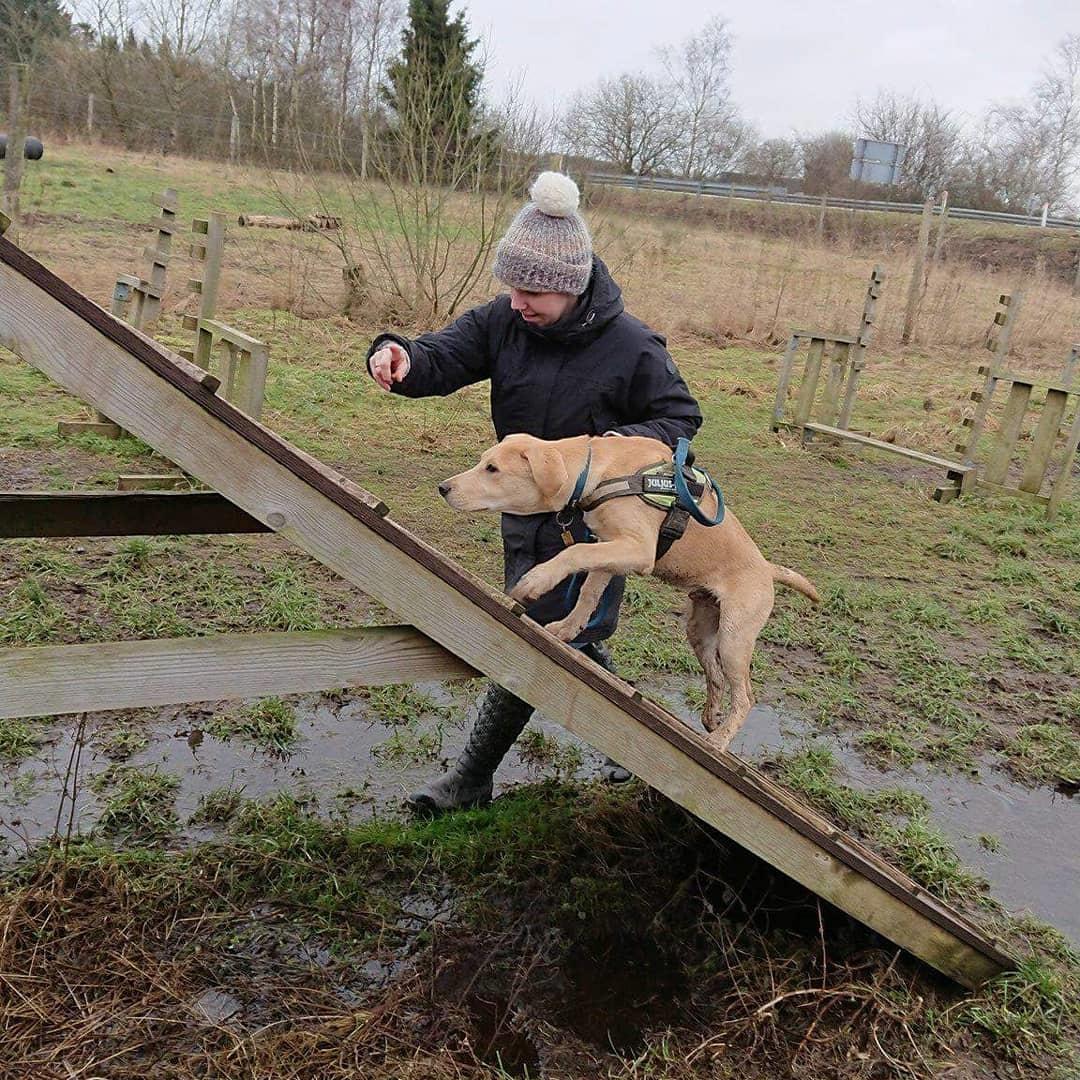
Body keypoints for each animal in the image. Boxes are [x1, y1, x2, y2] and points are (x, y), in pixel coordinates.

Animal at [438, 434, 816, 747]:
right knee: (716, 677)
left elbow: (574, 552)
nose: (443, 487)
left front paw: (537, 580)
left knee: (746, 696)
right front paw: (566, 629)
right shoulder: (609, 549)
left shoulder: (637, 549)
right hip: (701, 629)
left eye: (493, 469)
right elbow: (588, 592)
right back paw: (711, 718)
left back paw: (719, 740)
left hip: (734, 638)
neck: (599, 472)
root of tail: (766, 569)